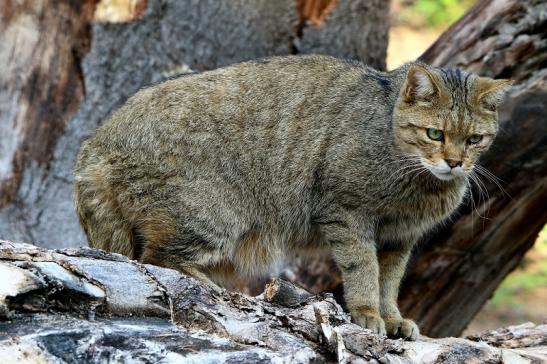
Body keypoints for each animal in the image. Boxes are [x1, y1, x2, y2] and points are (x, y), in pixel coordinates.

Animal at [75, 54, 512, 338]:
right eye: (434, 134)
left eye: (474, 139)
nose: (455, 162)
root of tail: (96, 143)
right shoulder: (347, 213)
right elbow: (363, 269)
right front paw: (367, 312)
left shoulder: (399, 238)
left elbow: (390, 281)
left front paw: (391, 317)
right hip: (211, 215)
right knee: (158, 260)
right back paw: (214, 288)